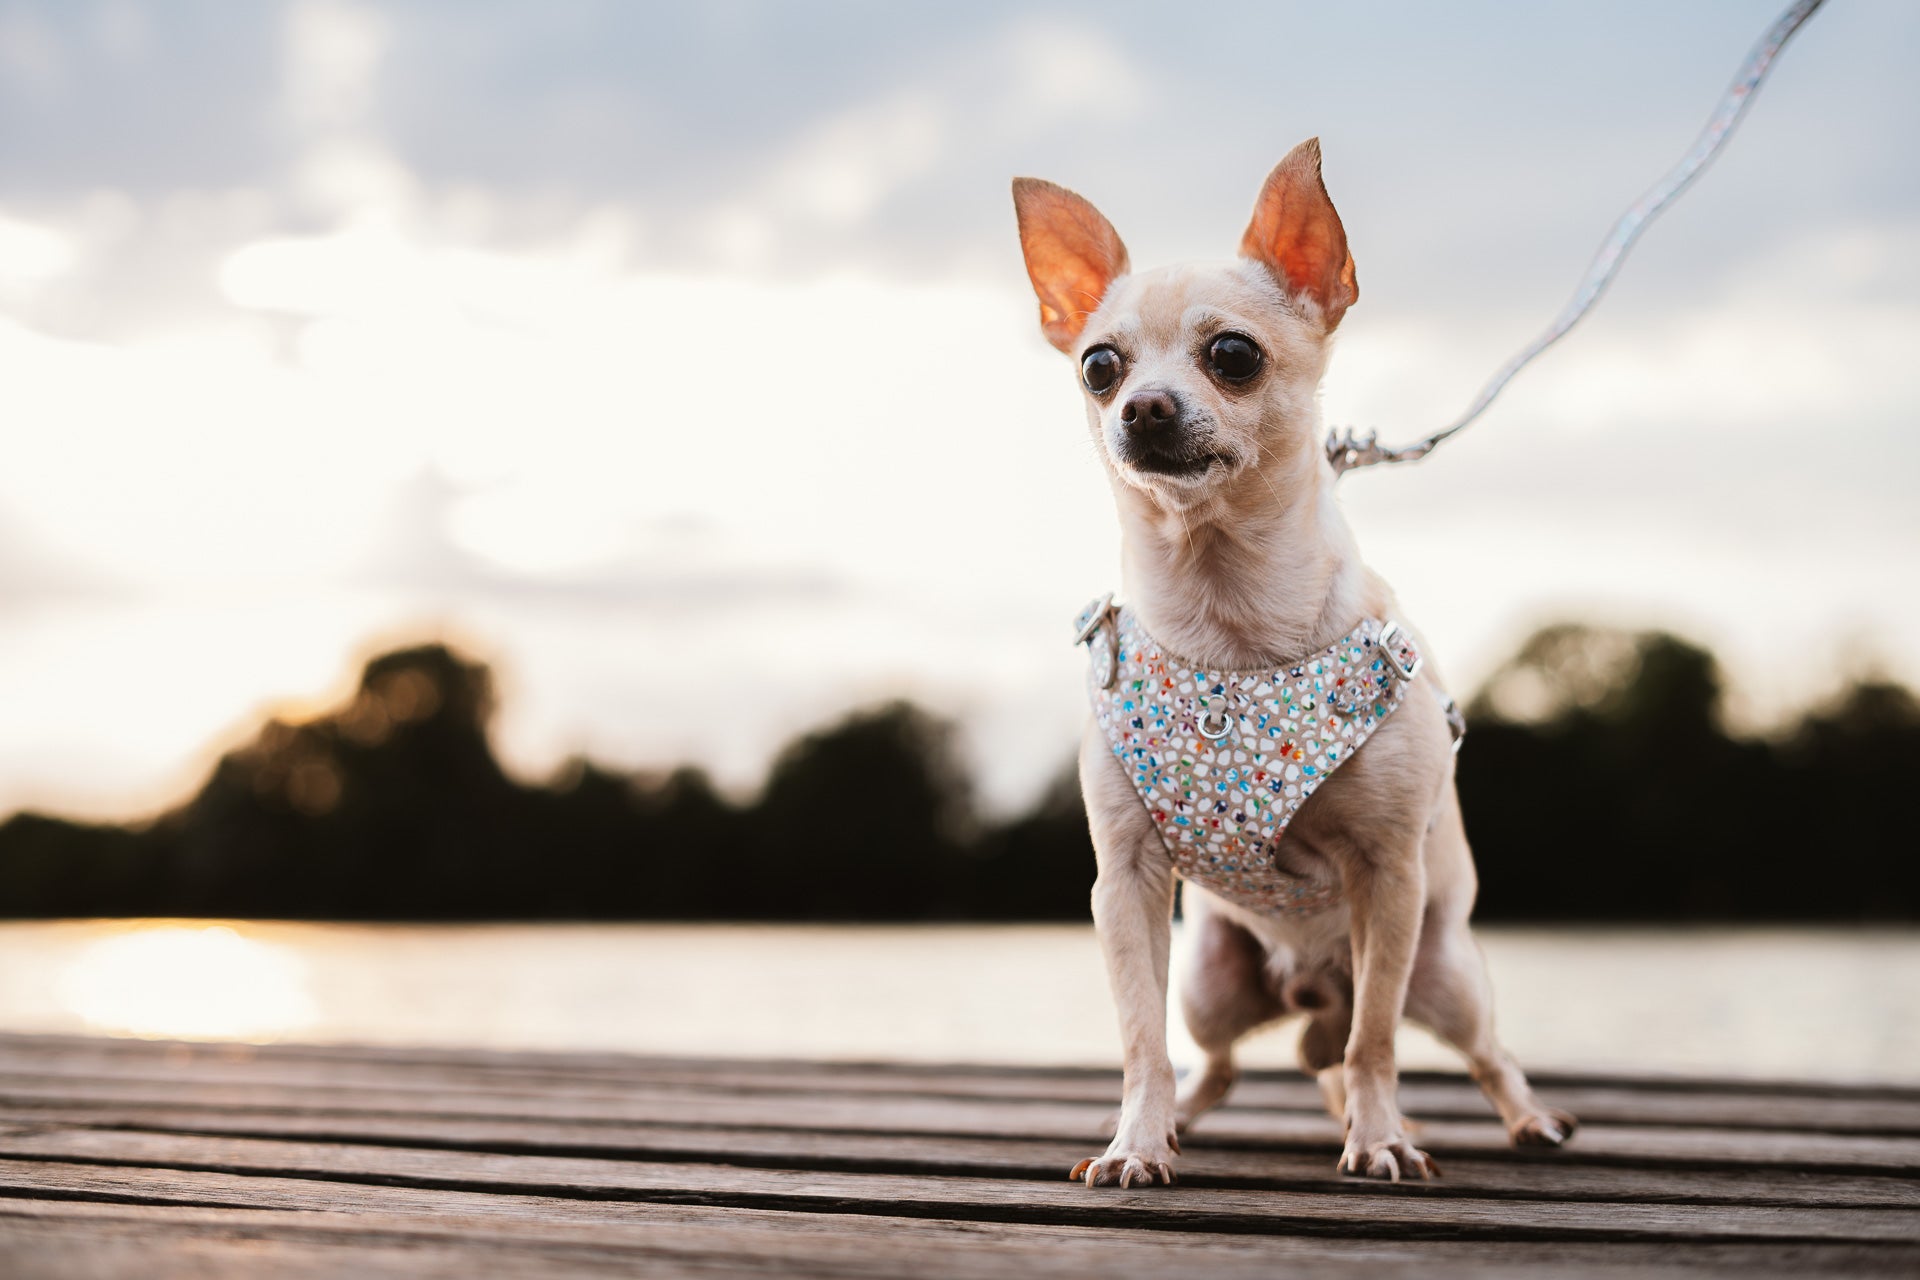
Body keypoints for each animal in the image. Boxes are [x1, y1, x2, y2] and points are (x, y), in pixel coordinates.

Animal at [1013, 135, 1566, 1189]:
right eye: (1099, 366)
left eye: (1233, 355)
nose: (1142, 407)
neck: (1226, 609)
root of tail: (1312, 988)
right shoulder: (1126, 886)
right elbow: (1138, 1037)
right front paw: (1134, 1143)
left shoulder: (1389, 879)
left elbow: (1377, 1042)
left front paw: (1382, 1137)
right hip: (1211, 984)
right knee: (1221, 1061)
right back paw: (1179, 1119)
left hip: (1447, 974)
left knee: (1468, 1049)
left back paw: (1525, 1119)